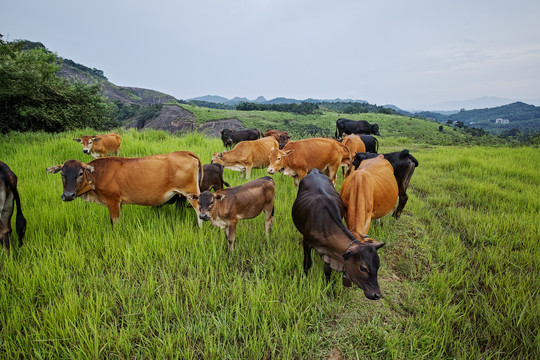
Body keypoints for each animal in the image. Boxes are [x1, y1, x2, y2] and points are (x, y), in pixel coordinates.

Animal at [45, 152, 202, 228]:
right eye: (62, 174)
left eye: (80, 173)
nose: (68, 195)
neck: (98, 174)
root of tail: (183, 152)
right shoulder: (118, 202)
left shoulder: (112, 200)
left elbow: (114, 222)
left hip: (191, 194)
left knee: (199, 212)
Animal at [292, 170, 384, 300]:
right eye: (363, 268)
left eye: (378, 266)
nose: (377, 294)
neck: (325, 223)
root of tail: (315, 171)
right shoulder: (307, 243)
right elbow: (307, 264)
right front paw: (304, 281)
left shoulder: (329, 250)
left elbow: (327, 270)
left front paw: (329, 289)